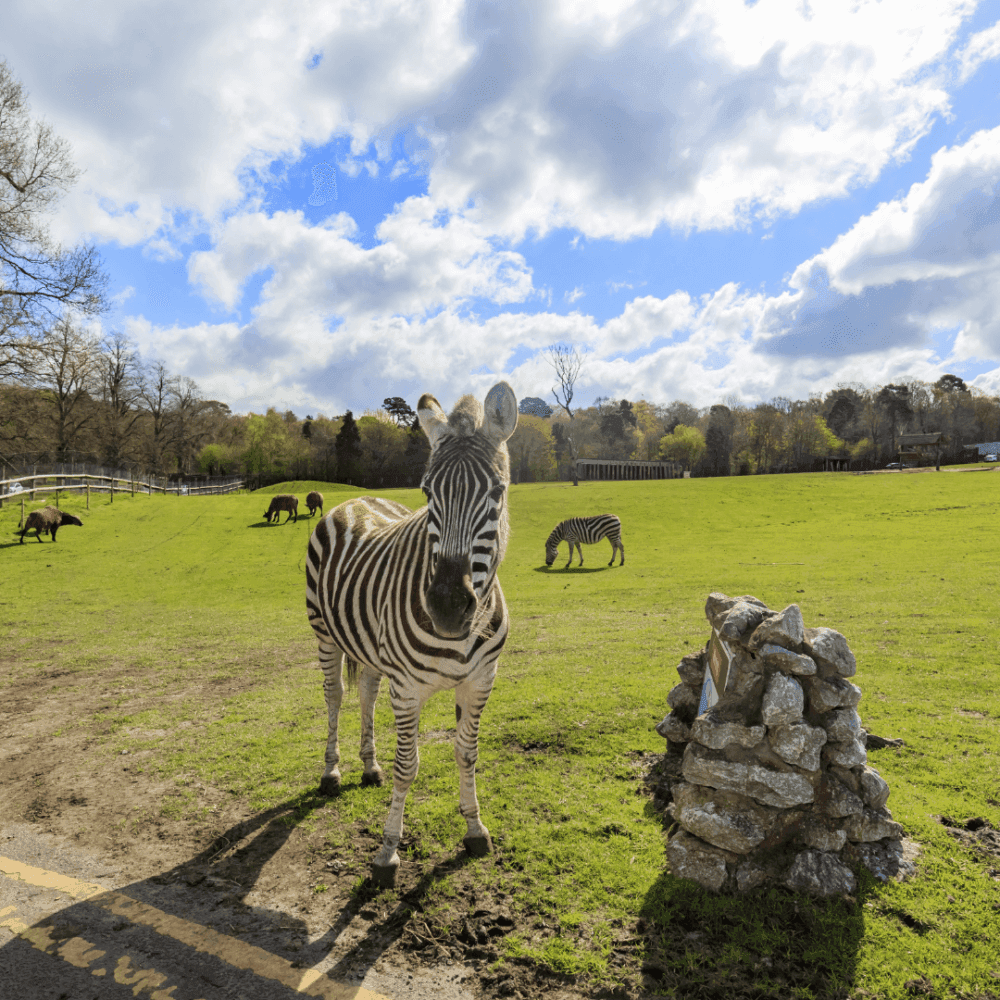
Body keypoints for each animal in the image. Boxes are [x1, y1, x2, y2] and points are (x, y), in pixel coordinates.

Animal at [305, 382, 518, 887]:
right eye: (427, 492)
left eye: (497, 492)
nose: (447, 608)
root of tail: (355, 501)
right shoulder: (405, 689)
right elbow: (409, 767)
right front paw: (387, 853)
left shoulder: (480, 681)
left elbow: (466, 753)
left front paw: (475, 830)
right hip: (324, 632)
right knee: (335, 695)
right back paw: (332, 771)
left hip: (367, 647)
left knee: (365, 691)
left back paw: (368, 766)